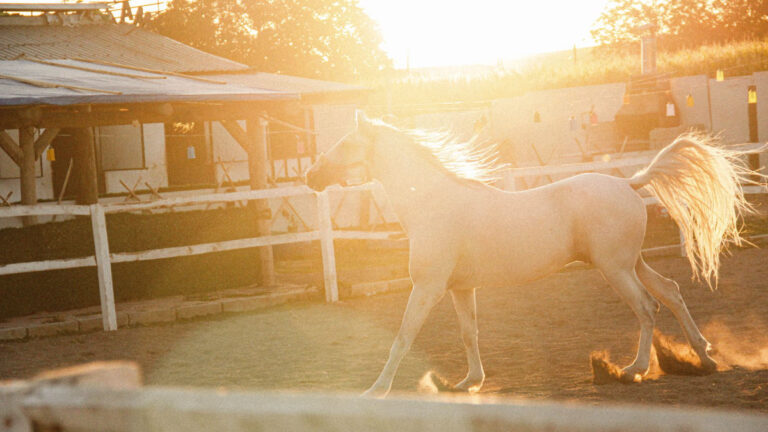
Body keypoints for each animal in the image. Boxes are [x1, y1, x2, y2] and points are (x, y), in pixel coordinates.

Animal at [305, 114, 761, 397]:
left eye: (345, 143)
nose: (310, 176)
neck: (432, 204)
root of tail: (630, 182)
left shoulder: (428, 288)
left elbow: (402, 337)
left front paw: (376, 389)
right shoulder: (459, 288)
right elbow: (469, 334)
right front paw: (469, 382)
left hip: (615, 269)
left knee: (648, 308)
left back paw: (633, 370)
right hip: (633, 263)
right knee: (671, 291)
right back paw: (703, 357)